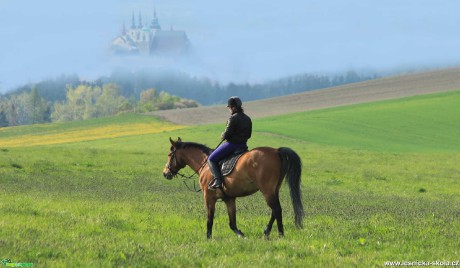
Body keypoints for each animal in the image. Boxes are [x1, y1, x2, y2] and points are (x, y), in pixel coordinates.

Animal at [163, 138, 306, 239]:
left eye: (170, 154)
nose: (165, 173)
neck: (205, 164)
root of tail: (277, 151)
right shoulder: (229, 199)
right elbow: (232, 223)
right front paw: (241, 235)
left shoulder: (209, 198)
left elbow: (210, 218)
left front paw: (208, 238)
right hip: (273, 190)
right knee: (274, 211)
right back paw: (267, 232)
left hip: (267, 191)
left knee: (276, 209)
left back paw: (280, 234)